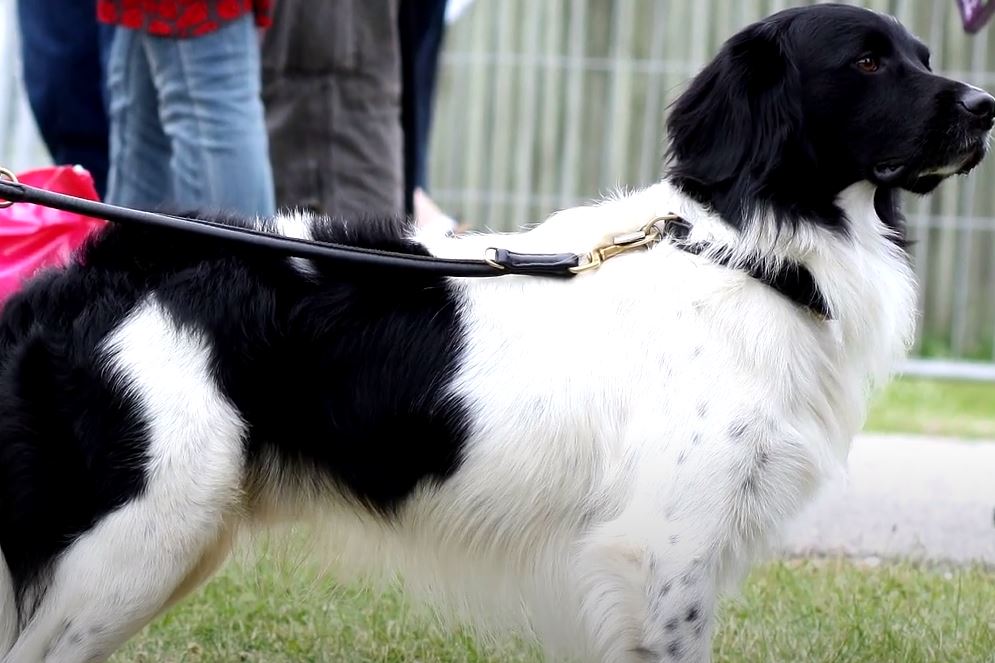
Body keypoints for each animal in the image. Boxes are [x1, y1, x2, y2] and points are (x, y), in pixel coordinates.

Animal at [1, 5, 995, 663]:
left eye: (920, 53)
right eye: (865, 62)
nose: (984, 105)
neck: (751, 249)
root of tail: (101, 267)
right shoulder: (660, 555)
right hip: (135, 538)